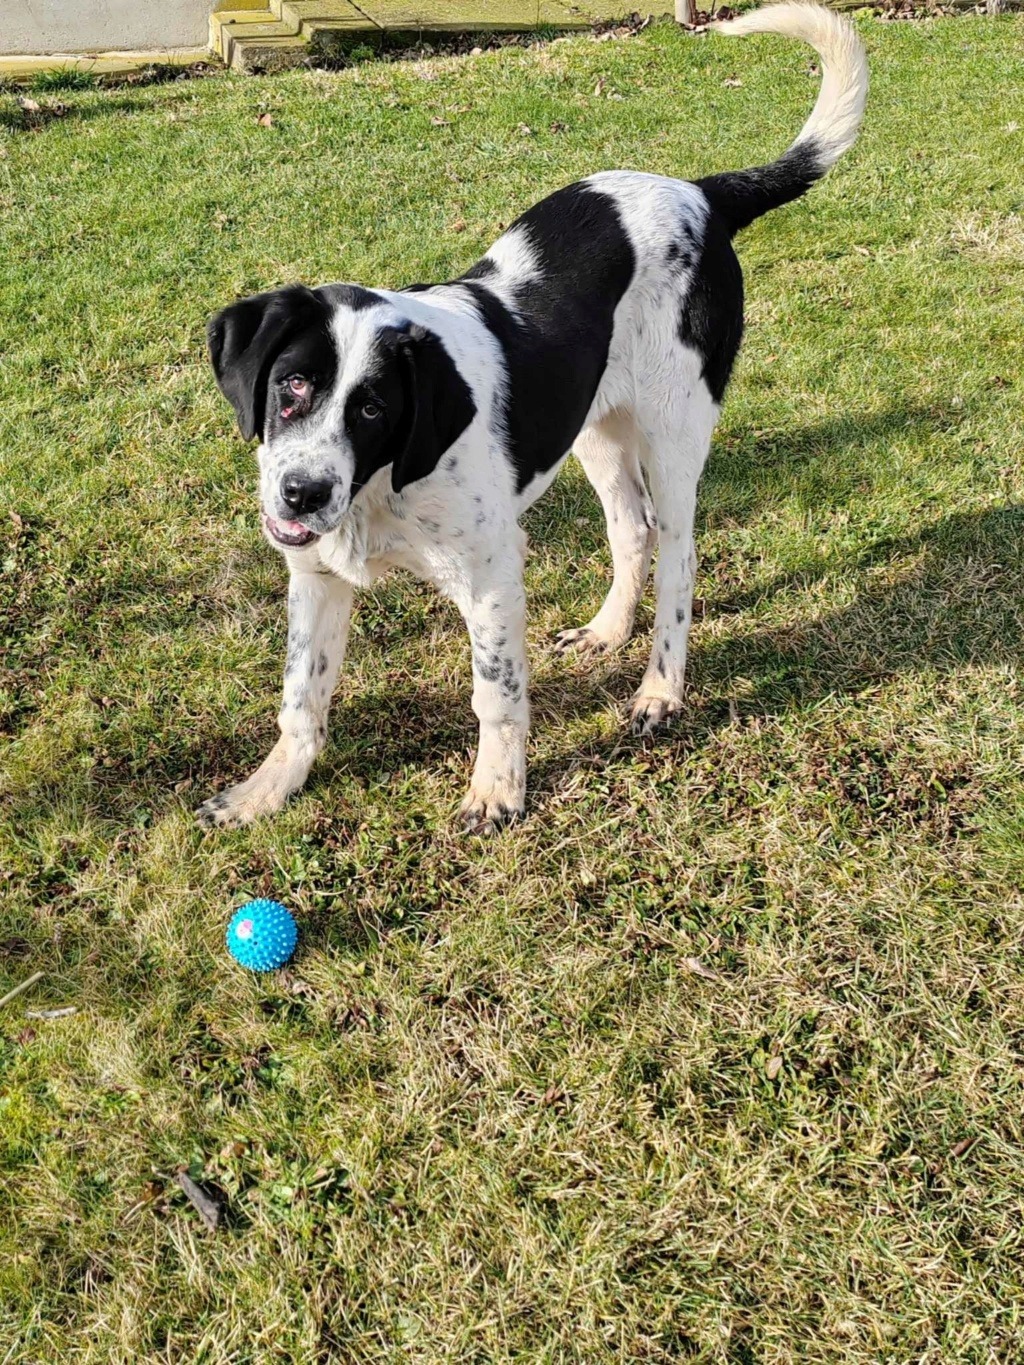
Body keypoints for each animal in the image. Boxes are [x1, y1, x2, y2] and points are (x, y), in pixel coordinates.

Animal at [196, 2, 868, 829]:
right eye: (291, 385)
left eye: (374, 406)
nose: (301, 494)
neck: (381, 488)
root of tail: (701, 194)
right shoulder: (316, 575)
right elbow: (301, 696)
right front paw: (268, 789)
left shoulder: (490, 576)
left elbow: (497, 693)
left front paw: (497, 789)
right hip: (596, 432)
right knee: (632, 527)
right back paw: (609, 632)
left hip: (675, 433)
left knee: (678, 558)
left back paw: (660, 690)